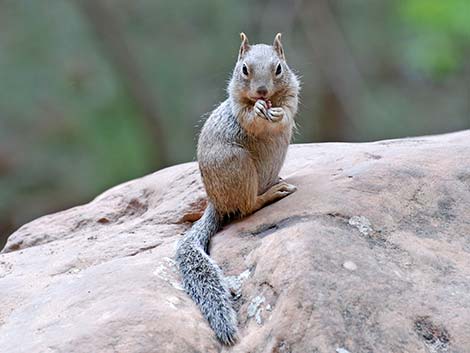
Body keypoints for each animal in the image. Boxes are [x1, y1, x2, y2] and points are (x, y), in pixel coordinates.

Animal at [174, 32, 300, 344]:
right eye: (244, 69)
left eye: (279, 68)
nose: (262, 92)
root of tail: (216, 203)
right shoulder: (238, 106)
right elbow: (249, 117)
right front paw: (258, 109)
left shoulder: (293, 93)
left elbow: (288, 110)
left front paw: (276, 113)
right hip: (240, 166)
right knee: (247, 207)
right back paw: (272, 194)